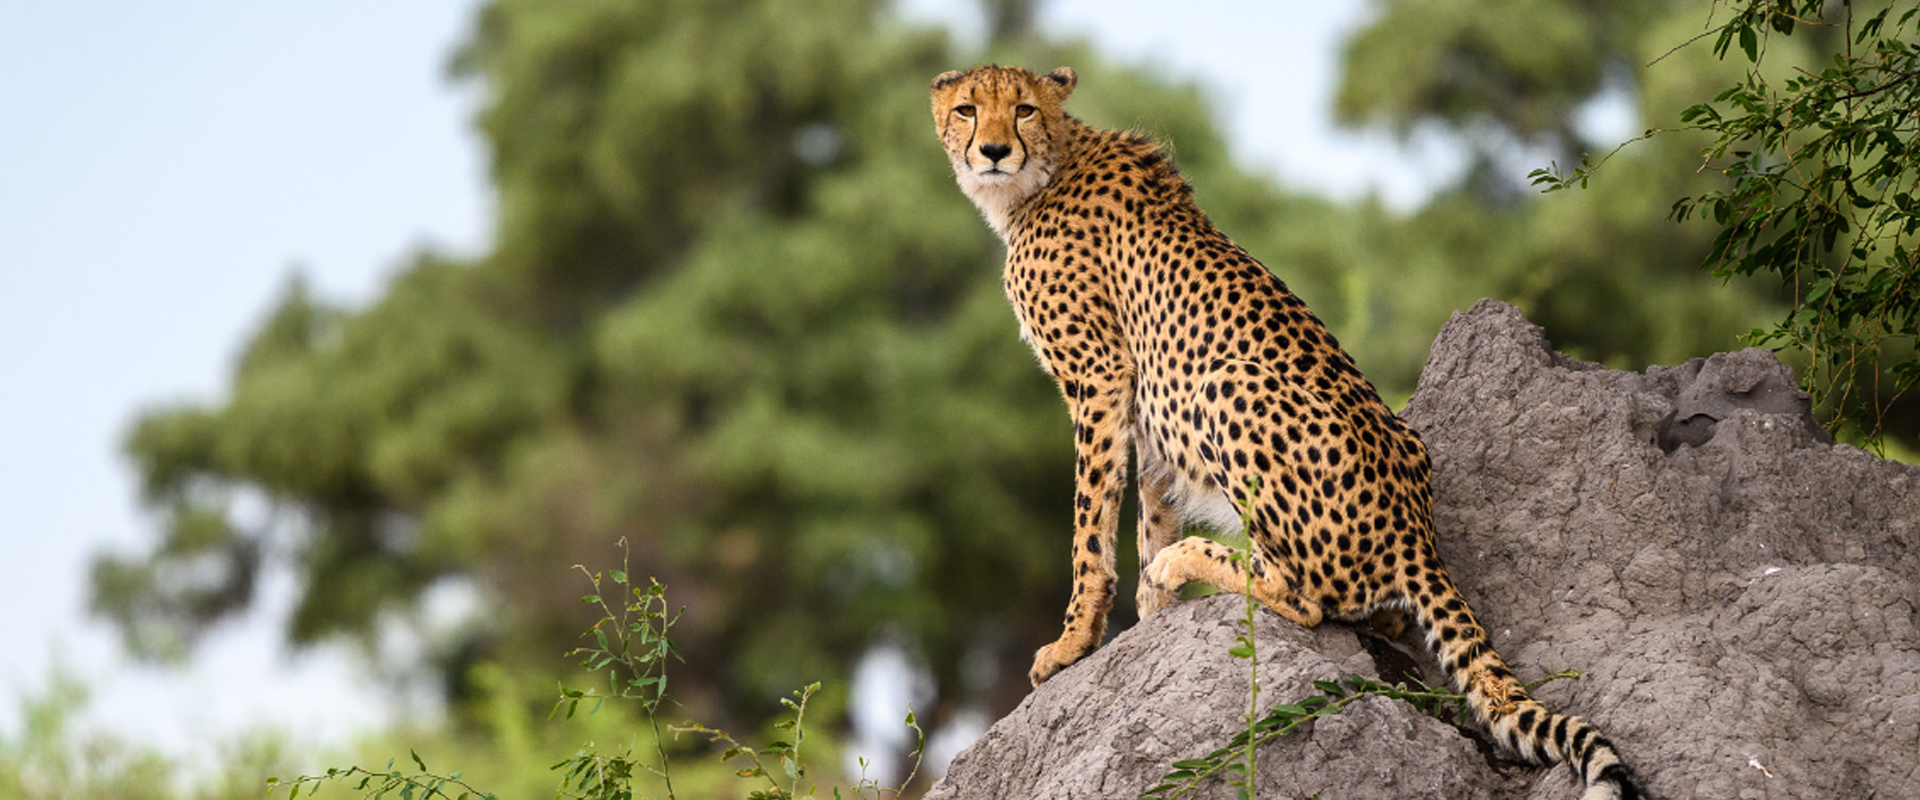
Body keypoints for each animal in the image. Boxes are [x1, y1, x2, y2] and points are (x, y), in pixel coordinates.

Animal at [933, 63, 1651, 798]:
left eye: (1022, 109)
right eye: (967, 110)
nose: (993, 150)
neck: (1044, 172)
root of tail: (1415, 525)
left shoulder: (1101, 378)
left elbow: (1090, 527)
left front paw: (1075, 642)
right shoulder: (1147, 404)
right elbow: (1148, 508)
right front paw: (1148, 619)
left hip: (1225, 383)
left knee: (1309, 598)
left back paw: (1189, 559)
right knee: (1380, 612)